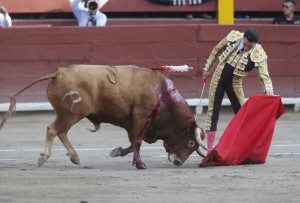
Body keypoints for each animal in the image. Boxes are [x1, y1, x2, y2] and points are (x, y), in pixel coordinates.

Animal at [0, 65, 207, 170]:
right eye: (190, 143)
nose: (178, 162)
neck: (163, 97)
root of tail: (59, 72)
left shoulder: (137, 124)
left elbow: (133, 143)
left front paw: (118, 152)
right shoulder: (140, 118)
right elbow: (137, 142)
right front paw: (140, 164)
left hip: (69, 114)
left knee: (61, 132)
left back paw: (74, 157)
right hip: (73, 113)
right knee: (53, 129)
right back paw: (44, 157)